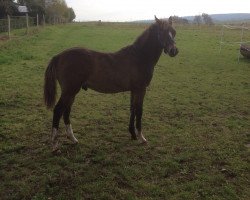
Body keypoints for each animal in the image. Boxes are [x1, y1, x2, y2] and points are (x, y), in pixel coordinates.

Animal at [44, 16, 178, 151]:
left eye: (174, 32)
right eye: (162, 32)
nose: (174, 51)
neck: (140, 57)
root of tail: (58, 56)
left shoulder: (134, 89)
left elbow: (133, 109)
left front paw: (133, 134)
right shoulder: (141, 89)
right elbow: (139, 111)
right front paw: (142, 138)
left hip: (71, 92)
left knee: (66, 112)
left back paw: (73, 139)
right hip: (69, 91)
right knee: (58, 111)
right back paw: (54, 144)